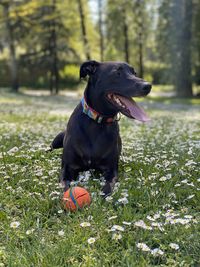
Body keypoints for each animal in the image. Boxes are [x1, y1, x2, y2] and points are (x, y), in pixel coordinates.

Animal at [50, 61, 151, 198]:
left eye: (134, 73)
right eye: (117, 73)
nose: (148, 86)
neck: (97, 122)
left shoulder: (111, 169)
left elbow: (108, 186)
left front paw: (103, 197)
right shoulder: (67, 168)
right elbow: (65, 187)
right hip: (57, 139)